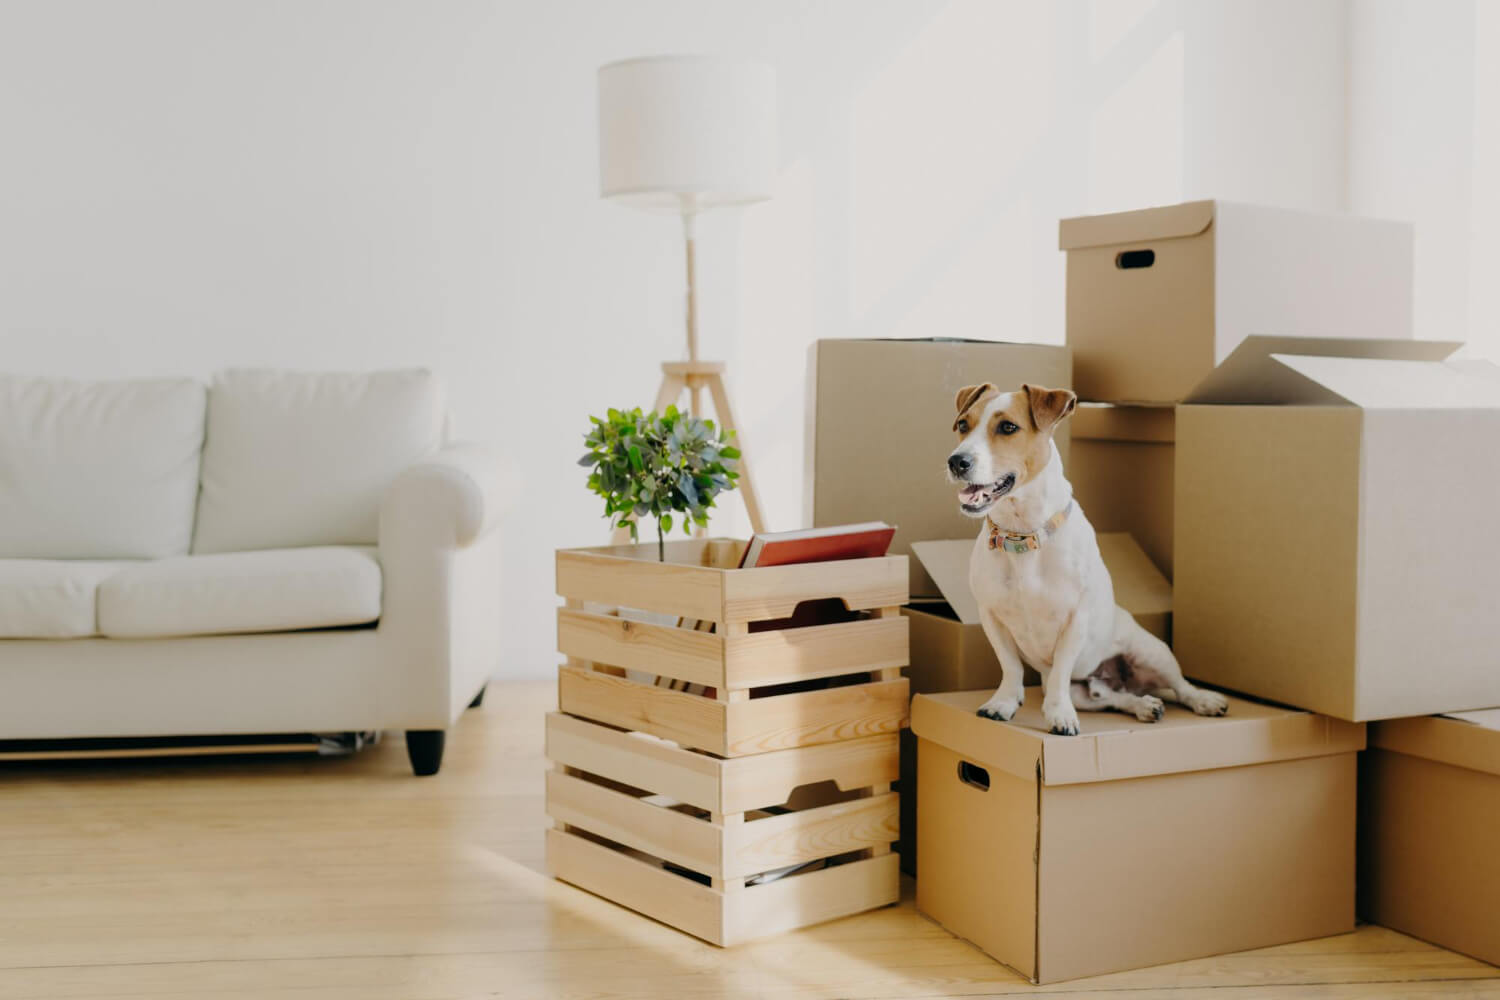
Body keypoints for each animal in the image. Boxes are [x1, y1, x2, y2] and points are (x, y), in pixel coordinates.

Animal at [948, 383, 1230, 734]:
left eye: (1008, 427)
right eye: (963, 424)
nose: (956, 461)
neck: (1023, 535)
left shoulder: (1075, 619)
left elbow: (1060, 671)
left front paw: (1059, 714)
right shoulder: (992, 617)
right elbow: (1010, 665)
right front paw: (1004, 703)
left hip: (1154, 652)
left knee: (1180, 687)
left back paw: (1204, 700)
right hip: (1084, 690)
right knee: (1110, 696)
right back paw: (1143, 705)